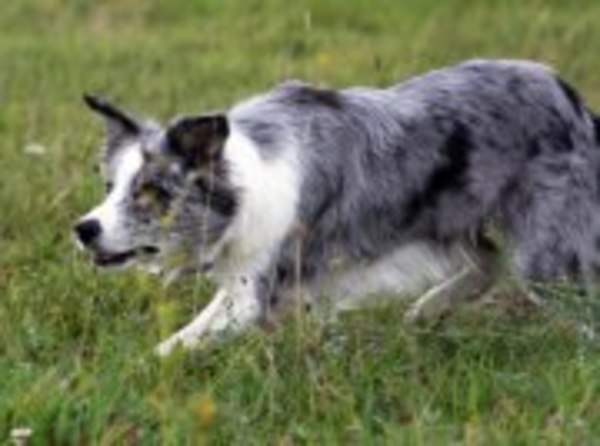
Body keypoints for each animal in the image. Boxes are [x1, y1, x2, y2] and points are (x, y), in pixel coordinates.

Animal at [75, 59, 600, 356]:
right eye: (110, 186)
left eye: (151, 191)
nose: (83, 229)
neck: (244, 177)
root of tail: (575, 100)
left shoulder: (252, 294)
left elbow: (175, 347)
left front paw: (133, 376)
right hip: (451, 216)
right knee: (488, 262)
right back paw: (426, 310)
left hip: (548, 259)